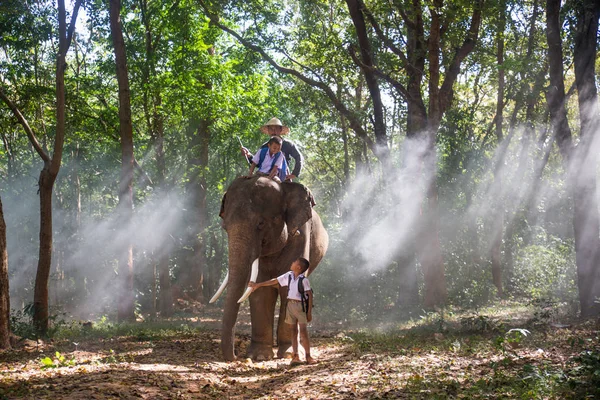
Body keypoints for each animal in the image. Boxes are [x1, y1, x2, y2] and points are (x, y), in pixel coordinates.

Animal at [212, 177, 328, 360]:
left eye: (261, 223)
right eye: (225, 227)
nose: (235, 357)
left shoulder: (301, 236)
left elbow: (288, 289)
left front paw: (287, 353)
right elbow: (261, 291)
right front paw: (259, 356)